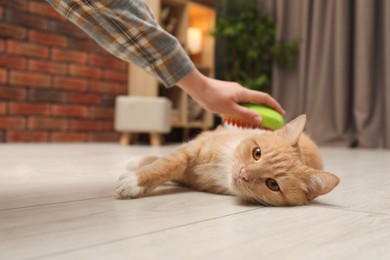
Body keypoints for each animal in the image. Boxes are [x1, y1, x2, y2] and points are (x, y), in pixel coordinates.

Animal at [116, 115, 338, 206]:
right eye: (257, 153)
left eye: (273, 184)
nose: (243, 174)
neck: (222, 167)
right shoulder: (192, 149)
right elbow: (166, 163)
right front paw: (134, 178)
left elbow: (170, 166)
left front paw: (133, 180)